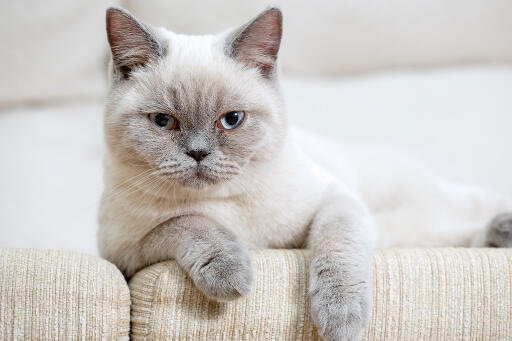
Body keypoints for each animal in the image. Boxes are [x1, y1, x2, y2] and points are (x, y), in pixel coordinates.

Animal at [99, 5, 512, 340]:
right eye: (163, 121)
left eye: (231, 120)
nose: (198, 153)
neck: (229, 206)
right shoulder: (127, 253)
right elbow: (190, 223)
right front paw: (233, 275)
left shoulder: (336, 202)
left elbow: (336, 250)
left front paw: (339, 319)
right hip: (407, 231)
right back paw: (499, 234)